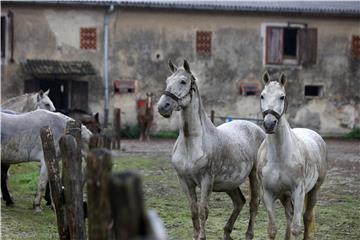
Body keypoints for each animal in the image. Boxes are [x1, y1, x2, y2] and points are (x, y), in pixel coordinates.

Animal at [157, 59, 264, 239]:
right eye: (167, 80)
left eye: (183, 81)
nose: (163, 106)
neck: (190, 143)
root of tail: (258, 129)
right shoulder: (185, 181)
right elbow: (193, 211)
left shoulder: (206, 180)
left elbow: (203, 211)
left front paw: (202, 236)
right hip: (230, 182)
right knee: (239, 202)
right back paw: (227, 232)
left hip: (253, 176)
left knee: (253, 204)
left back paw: (248, 234)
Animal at [258, 72, 328, 239]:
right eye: (262, 95)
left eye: (282, 97)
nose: (269, 124)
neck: (279, 157)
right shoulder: (268, 194)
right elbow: (272, 229)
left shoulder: (298, 192)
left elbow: (297, 228)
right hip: (285, 196)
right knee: (289, 215)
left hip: (314, 190)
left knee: (307, 217)